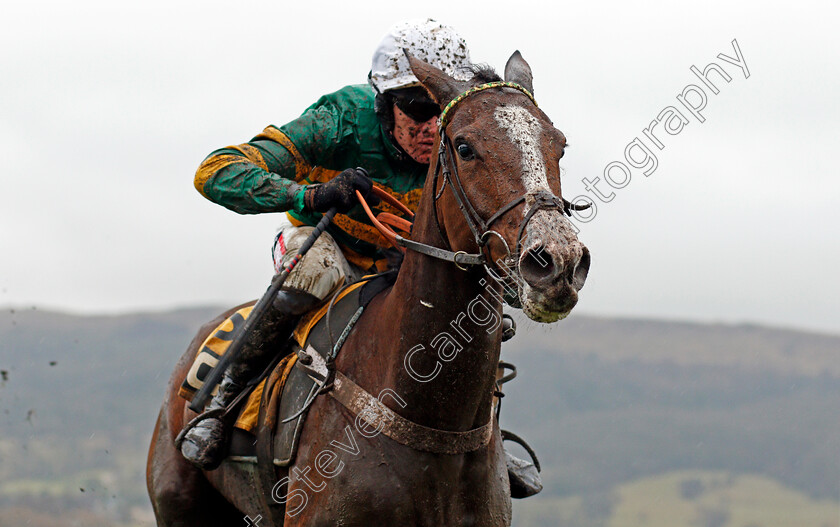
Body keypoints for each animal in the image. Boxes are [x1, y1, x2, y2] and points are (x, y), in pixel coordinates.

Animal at [146, 50, 592, 527]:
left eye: (559, 145)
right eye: (464, 147)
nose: (558, 262)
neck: (431, 421)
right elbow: (226, 160)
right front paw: (337, 189)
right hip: (178, 503)